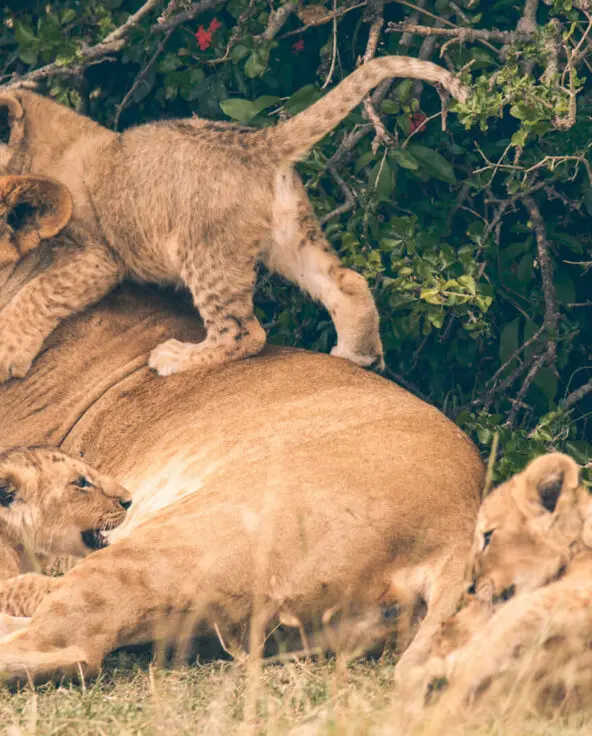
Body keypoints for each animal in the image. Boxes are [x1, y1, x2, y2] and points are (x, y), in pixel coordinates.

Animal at [0, 58, 468, 379]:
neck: (36, 144)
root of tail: (260, 141)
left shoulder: (96, 255)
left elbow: (38, 291)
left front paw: (7, 352)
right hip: (291, 237)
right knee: (348, 282)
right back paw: (358, 356)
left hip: (205, 251)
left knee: (244, 332)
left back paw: (178, 357)